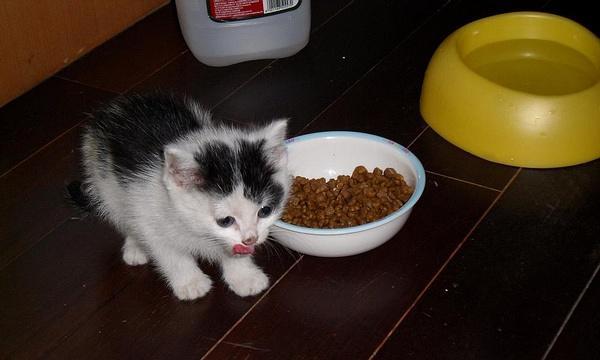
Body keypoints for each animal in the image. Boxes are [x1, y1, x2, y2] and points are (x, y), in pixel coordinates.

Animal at [71, 91, 292, 300]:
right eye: (225, 220)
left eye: (265, 211)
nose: (250, 239)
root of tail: (118, 104)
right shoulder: (149, 213)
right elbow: (169, 253)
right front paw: (190, 283)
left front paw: (244, 277)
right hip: (105, 183)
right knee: (125, 216)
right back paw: (135, 246)